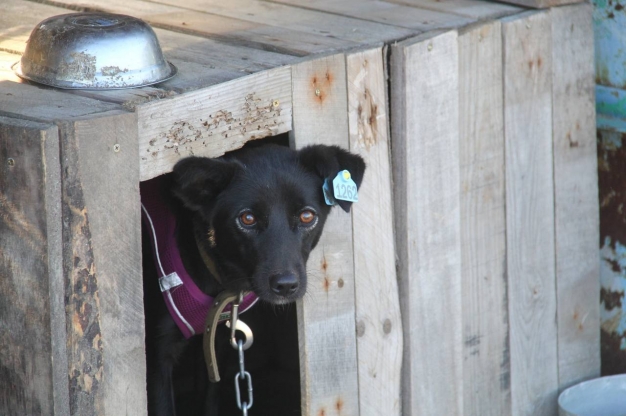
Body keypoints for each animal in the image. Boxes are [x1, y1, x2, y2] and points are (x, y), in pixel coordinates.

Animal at [141, 144, 364, 416]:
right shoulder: (158, 357)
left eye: (307, 216)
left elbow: (210, 400)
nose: (286, 286)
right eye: (247, 218)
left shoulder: (217, 343)